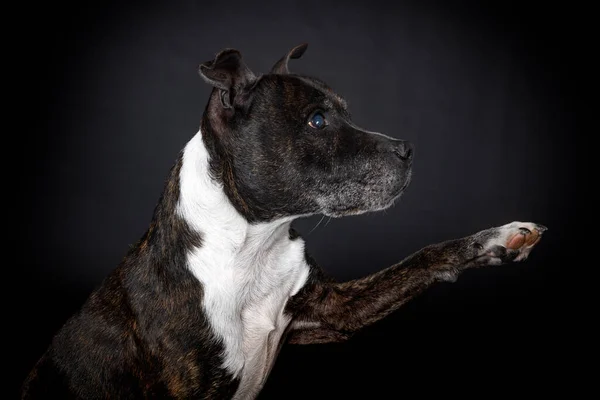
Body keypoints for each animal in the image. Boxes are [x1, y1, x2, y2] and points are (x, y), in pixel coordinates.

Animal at [23, 43, 548, 400]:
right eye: (316, 121)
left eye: (345, 114)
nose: (407, 149)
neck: (251, 245)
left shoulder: (333, 311)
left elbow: (422, 259)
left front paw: (497, 239)